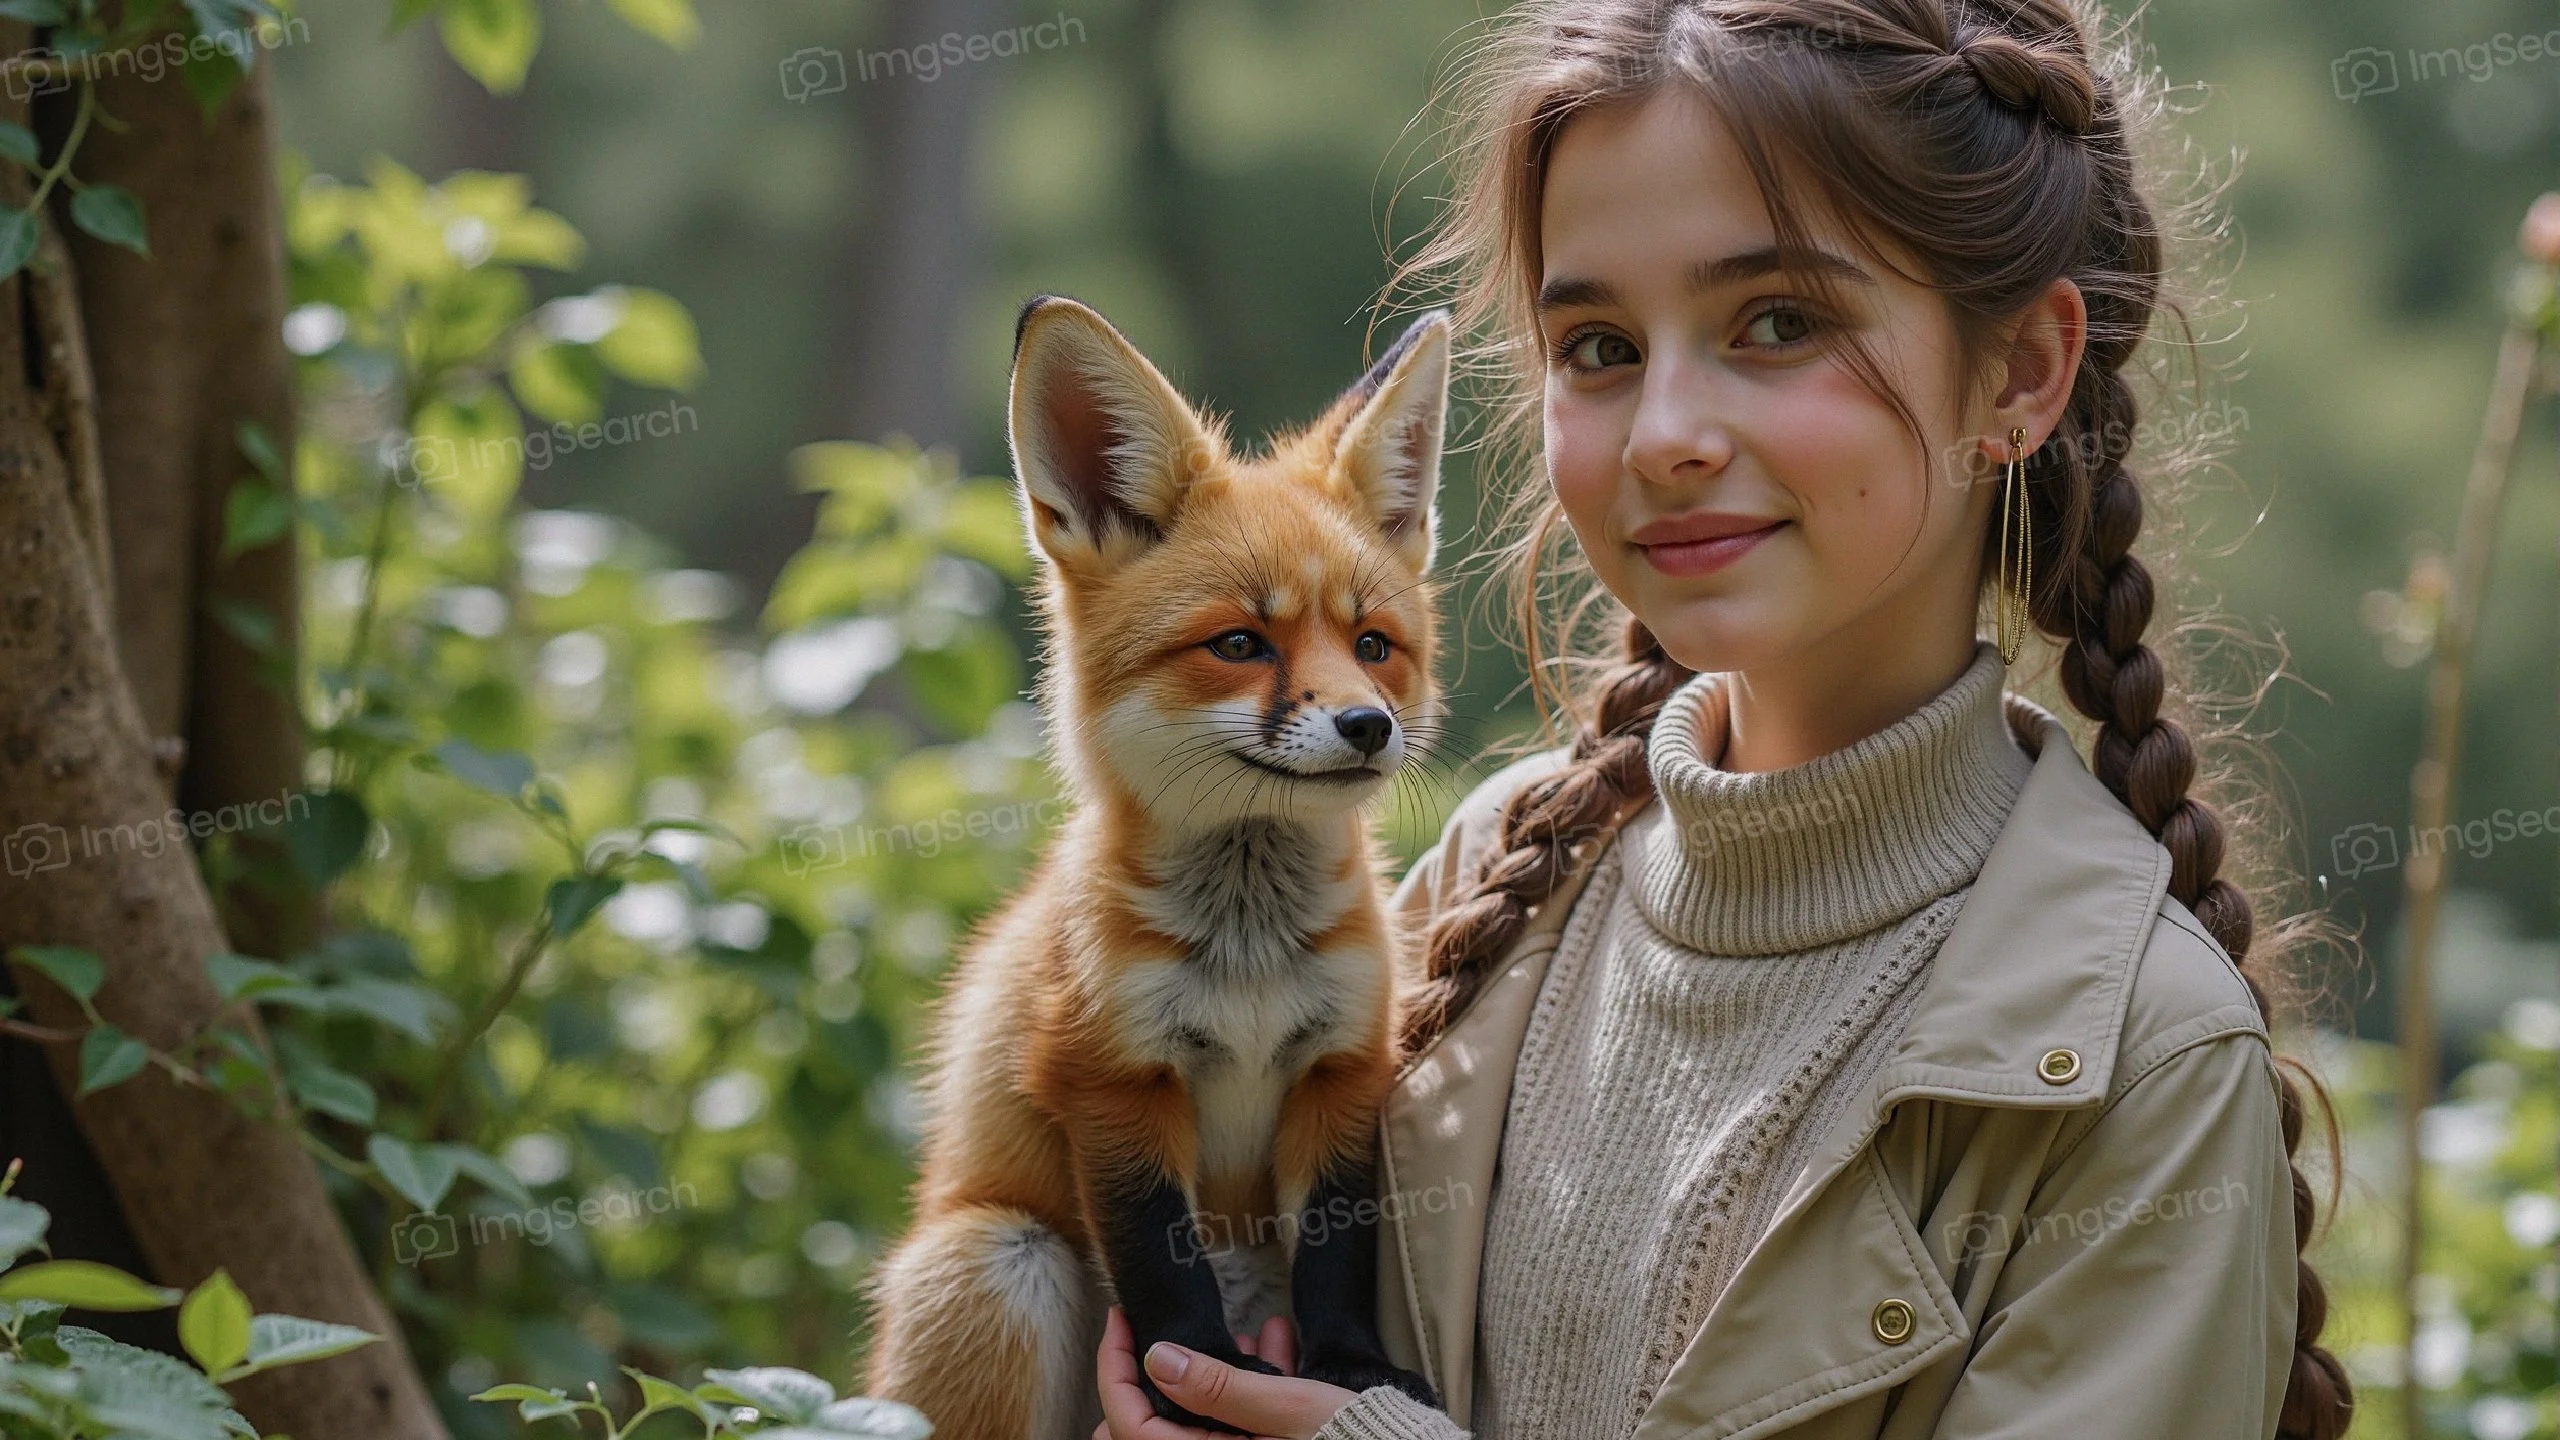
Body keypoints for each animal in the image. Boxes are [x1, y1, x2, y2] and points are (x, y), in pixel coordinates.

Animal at [858, 294, 1452, 1439]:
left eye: (1372, 645)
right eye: (1239, 645)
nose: (1368, 726)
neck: (1250, 962)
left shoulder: (1342, 1066)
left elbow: (1337, 1255)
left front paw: (1352, 1371)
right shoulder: (1109, 1077)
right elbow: (1161, 1264)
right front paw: (1198, 1383)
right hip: (1002, 1260)